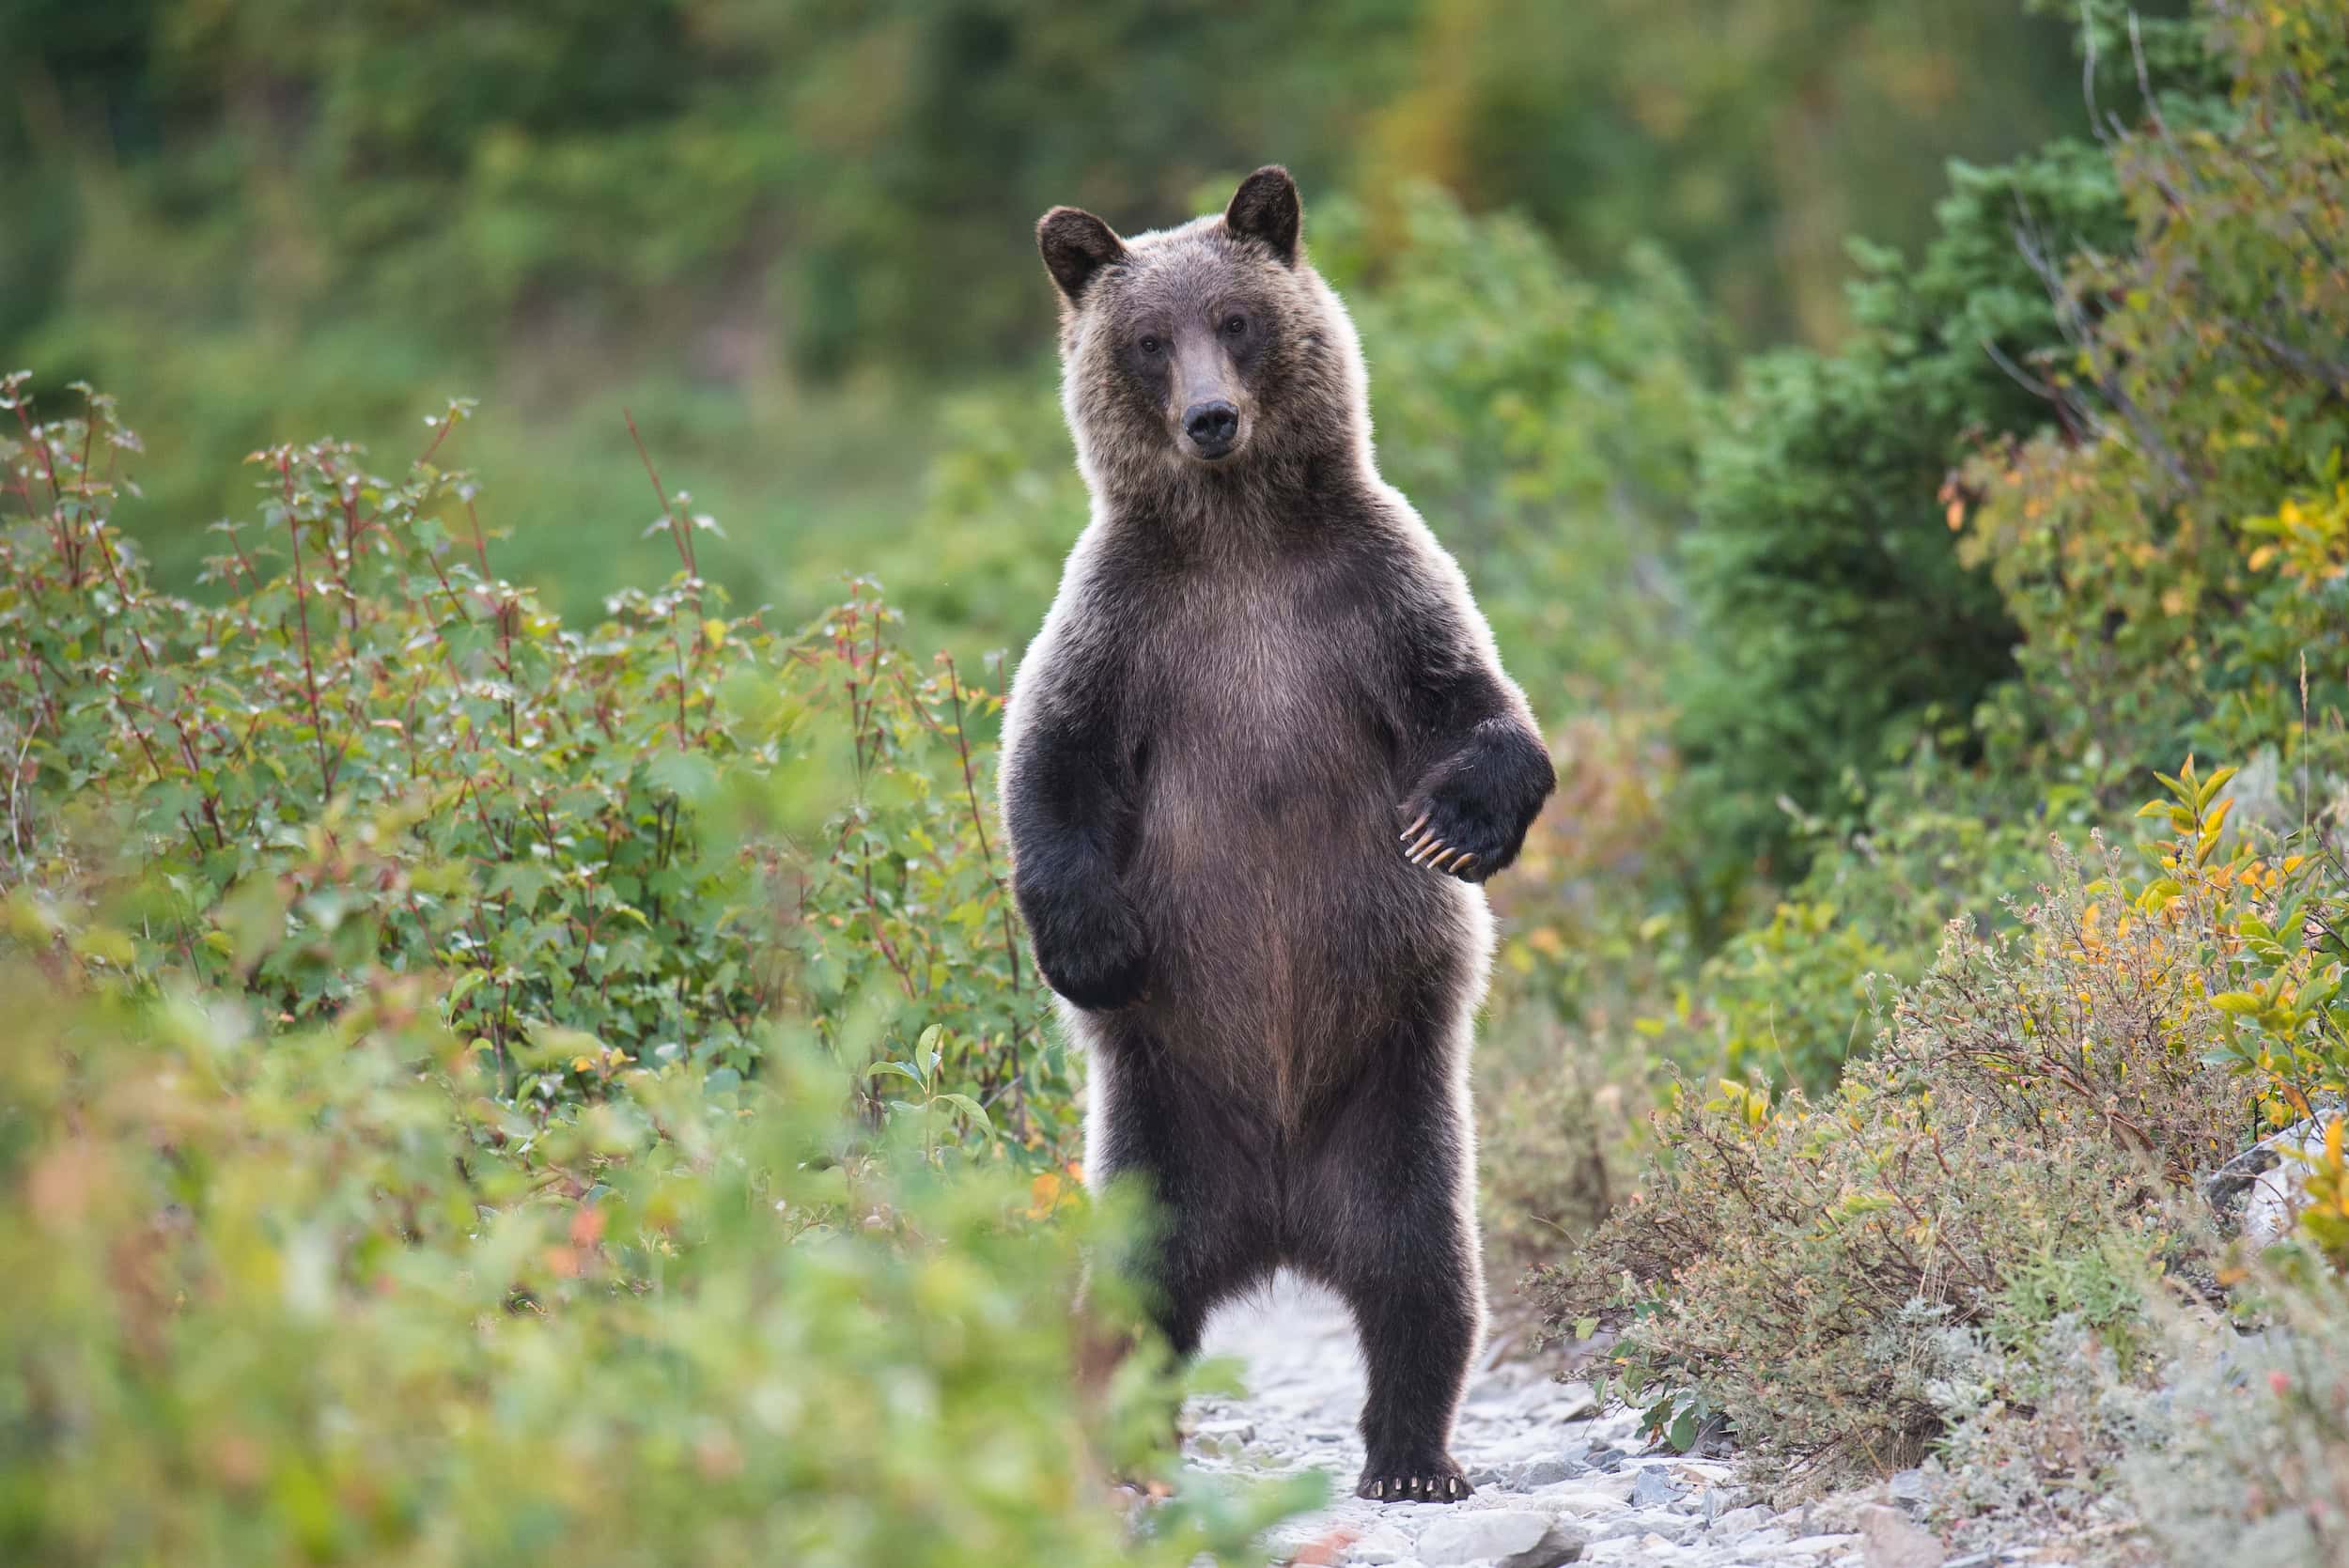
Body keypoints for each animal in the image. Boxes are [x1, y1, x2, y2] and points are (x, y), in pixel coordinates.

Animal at [1001, 165, 1550, 1502]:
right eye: (1149, 339)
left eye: (1237, 321)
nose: (1209, 419)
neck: (1237, 538)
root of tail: (1285, 1220)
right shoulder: (1123, 628)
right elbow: (1052, 764)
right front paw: (1089, 943)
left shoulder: (1373, 595)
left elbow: (1479, 706)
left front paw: (1454, 827)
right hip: (1162, 1138)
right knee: (1138, 1298)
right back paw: (1135, 1446)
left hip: (1393, 1115)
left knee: (1424, 1280)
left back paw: (1412, 1455)